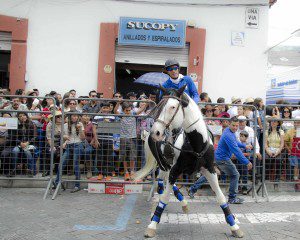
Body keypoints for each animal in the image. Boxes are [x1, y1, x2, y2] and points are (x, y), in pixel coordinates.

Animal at [134, 86, 244, 238]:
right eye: (160, 107)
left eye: (172, 107)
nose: (156, 132)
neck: (196, 144)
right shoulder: (175, 170)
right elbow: (164, 198)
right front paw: (152, 225)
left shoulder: (210, 170)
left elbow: (221, 197)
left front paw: (234, 226)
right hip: (163, 164)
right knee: (162, 183)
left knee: (164, 182)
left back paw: (183, 202)